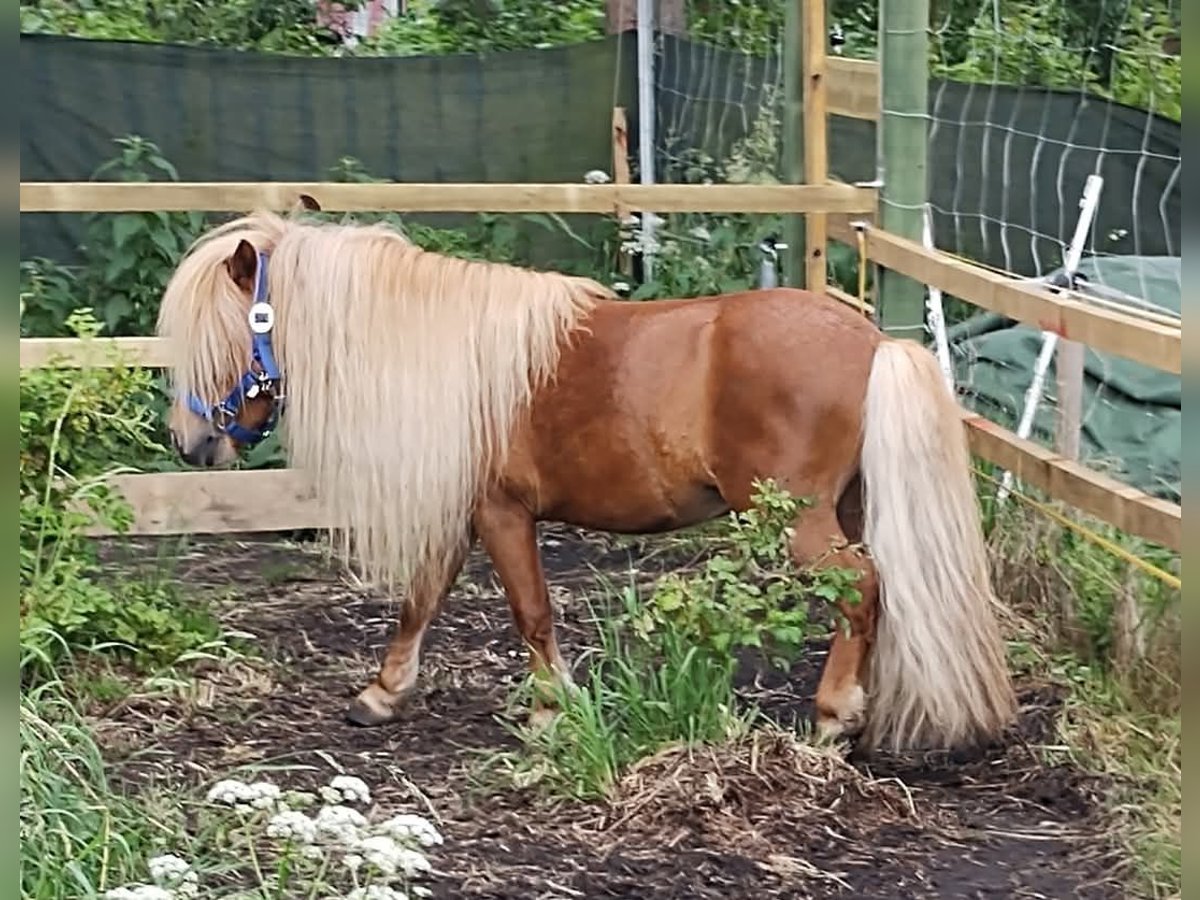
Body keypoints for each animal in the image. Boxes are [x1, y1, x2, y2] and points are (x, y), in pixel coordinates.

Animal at [157, 199, 1012, 753]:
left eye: (222, 337)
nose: (192, 444)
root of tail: (873, 343)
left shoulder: (501, 514)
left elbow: (531, 613)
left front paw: (548, 712)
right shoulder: (462, 512)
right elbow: (420, 599)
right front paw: (382, 693)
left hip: (800, 521)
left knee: (861, 589)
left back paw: (835, 716)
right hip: (853, 507)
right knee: (881, 593)